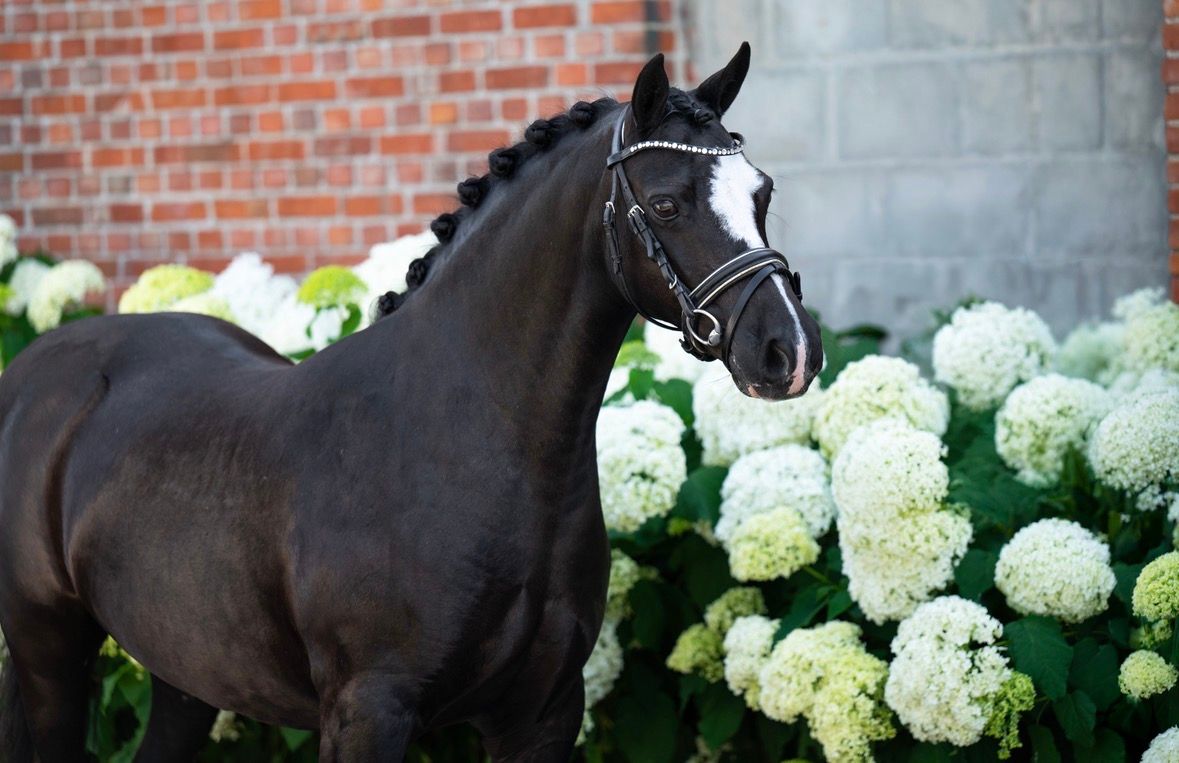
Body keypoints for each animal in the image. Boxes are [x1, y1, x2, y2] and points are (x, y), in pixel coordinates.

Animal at [0, 45, 821, 762]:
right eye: (666, 203)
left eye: (762, 194)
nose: (790, 351)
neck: (463, 437)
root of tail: (31, 371)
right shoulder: (368, 714)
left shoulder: (544, 714)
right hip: (49, 653)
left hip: (188, 668)